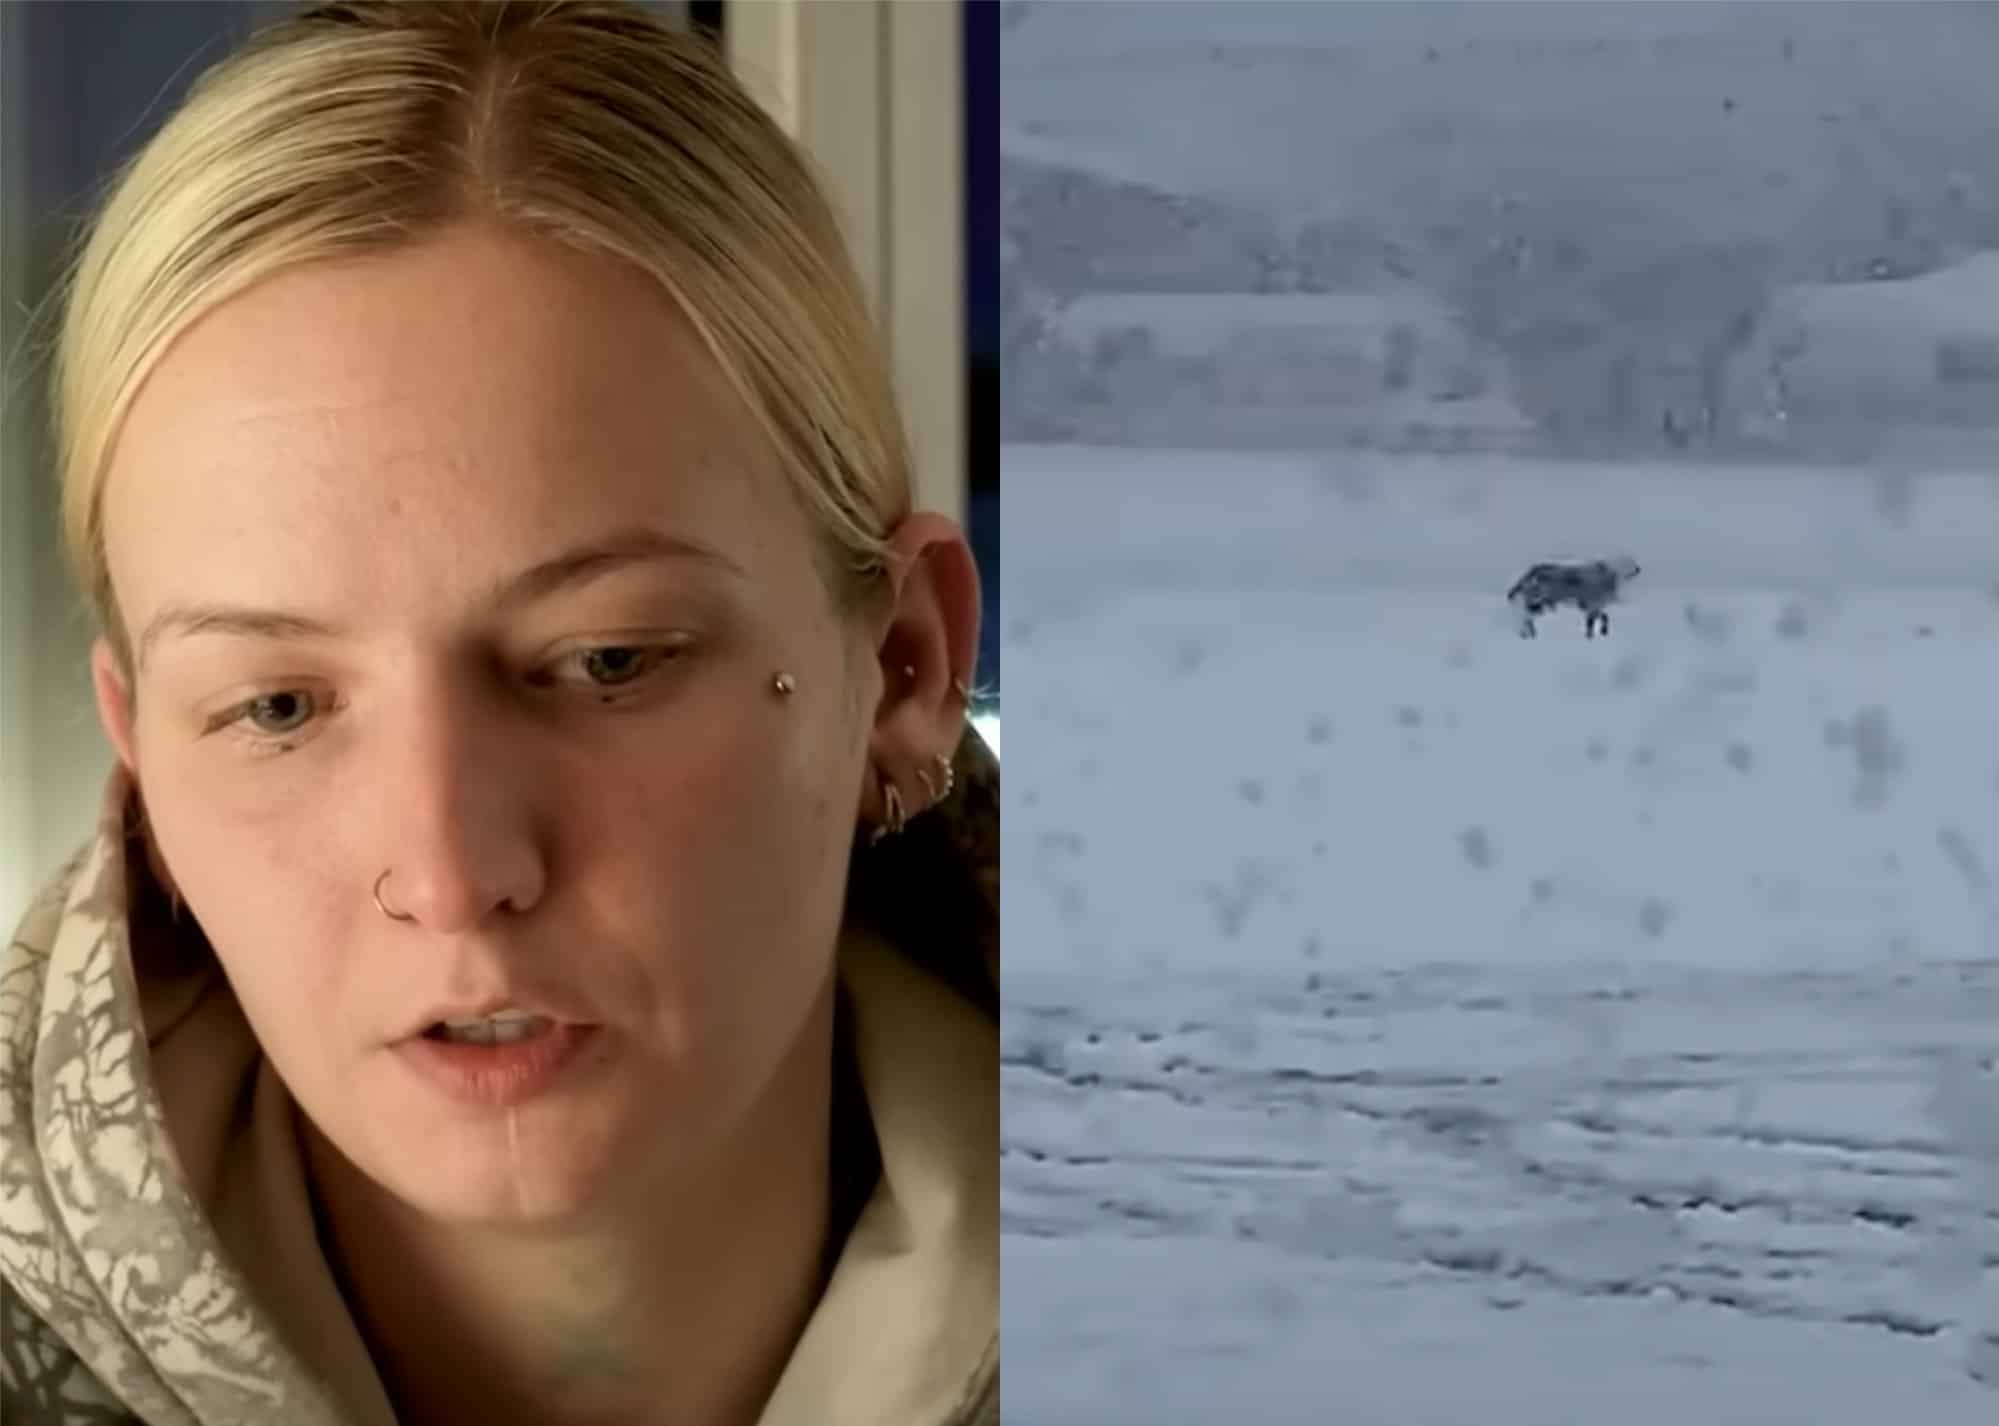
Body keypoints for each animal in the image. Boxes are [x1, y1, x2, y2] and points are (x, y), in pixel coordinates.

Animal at [1511, 556, 1639, 640]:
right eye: (1629, 562)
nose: (1638, 568)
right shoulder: (1593, 605)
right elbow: (1593, 622)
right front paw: (1592, 635)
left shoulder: (1594, 606)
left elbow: (1601, 618)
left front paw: (1602, 632)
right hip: (1537, 602)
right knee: (1527, 618)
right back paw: (1528, 633)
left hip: (1538, 603)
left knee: (1527, 618)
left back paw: (1528, 633)